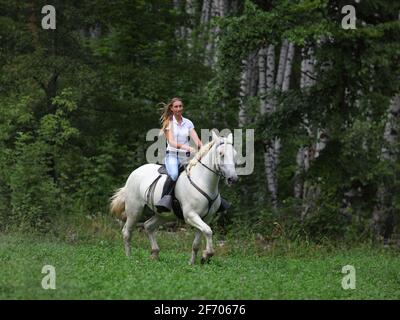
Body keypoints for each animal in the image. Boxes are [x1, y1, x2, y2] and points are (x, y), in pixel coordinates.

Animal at [109, 131, 238, 264]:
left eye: (235, 154)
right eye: (221, 154)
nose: (233, 179)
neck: (202, 181)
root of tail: (135, 172)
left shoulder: (205, 218)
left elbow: (198, 240)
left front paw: (194, 262)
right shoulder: (190, 215)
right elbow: (208, 231)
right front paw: (207, 255)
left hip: (163, 215)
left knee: (148, 226)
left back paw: (155, 253)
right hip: (134, 211)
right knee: (127, 232)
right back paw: (129, 258)